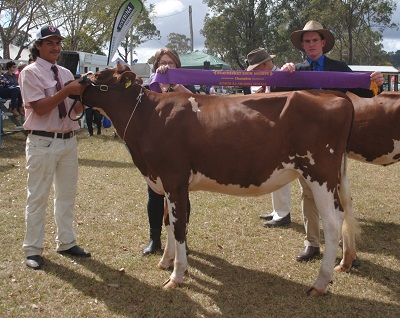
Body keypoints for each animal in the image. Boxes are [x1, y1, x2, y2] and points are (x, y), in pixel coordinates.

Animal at [79, 63, 356, 296]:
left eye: (99, 76)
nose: (77, 81)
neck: (148, 117)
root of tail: (335, 95)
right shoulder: (166, 182)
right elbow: (168, 221)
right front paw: (166, 261)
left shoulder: (173, 178)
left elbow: (179, 226)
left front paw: (177, 276)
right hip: (328, 177)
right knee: (342, 212)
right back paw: (344, 263)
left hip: (319, 173)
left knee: (332, 224)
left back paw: (320, 283)